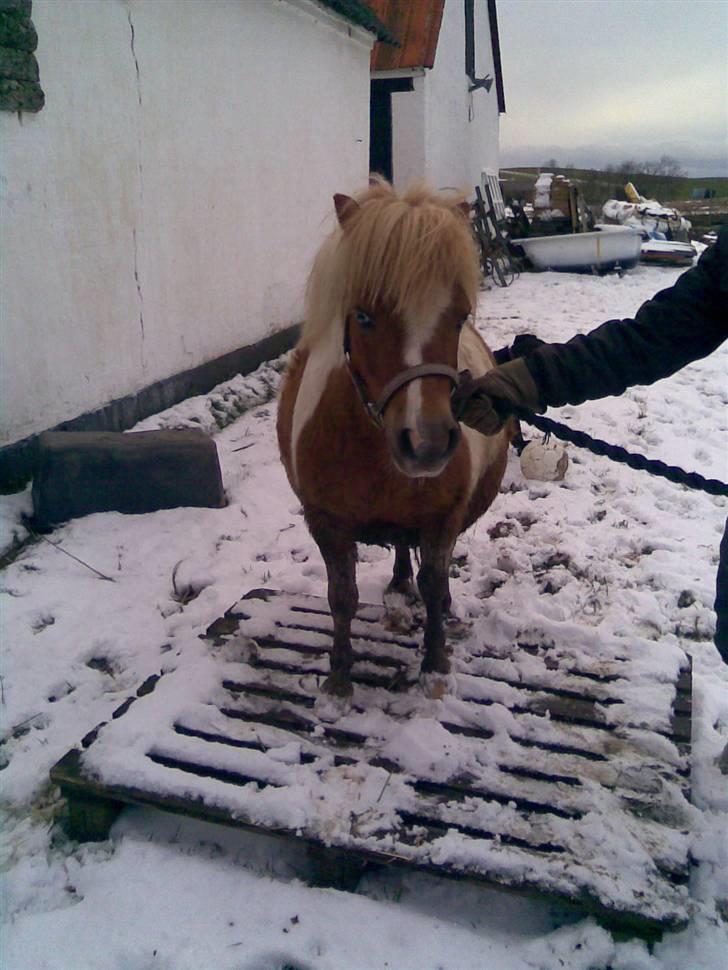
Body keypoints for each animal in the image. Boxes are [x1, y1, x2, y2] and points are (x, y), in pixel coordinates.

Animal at [278, 180, 512, 696]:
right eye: (363, 317)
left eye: (459, 316)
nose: (427, 444)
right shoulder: (325, 523)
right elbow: (341, 596)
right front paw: (339, 679)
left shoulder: (443, 520)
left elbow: (435, 583)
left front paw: (434, 664)